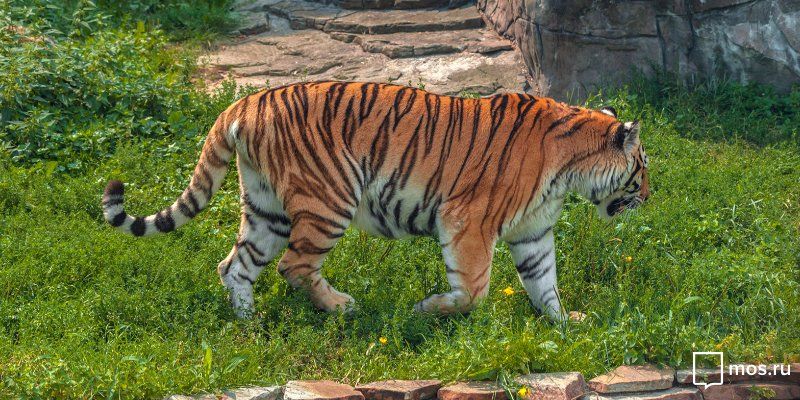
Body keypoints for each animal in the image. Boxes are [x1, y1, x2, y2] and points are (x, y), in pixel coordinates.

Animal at [101, 81, 650, 321]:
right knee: (294, 267)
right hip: (329, 199)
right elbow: (474, 290)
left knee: (234, 265)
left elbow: (544, 283)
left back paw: (249, 323)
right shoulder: (467, 221)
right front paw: (429, 309)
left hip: (266, 208)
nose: (648, 197)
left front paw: (565, 324)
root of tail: (245, 101)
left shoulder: (533, 231)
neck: (569, 169)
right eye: (642, 170)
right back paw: (341, 307)